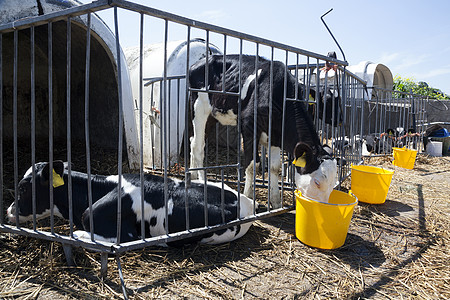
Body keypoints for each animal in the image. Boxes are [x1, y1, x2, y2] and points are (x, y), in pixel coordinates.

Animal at [187, 55, 338, 207]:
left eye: (333, 185)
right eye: (317, 182)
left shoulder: (276, 136)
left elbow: (274, 167)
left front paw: (276, 203)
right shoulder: (249, 127)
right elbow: (252, 165)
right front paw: (248, 197)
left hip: (212, 115)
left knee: (193, 141)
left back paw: (193, 177)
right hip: (199, 107)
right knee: (198, 146)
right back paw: (202, 181)